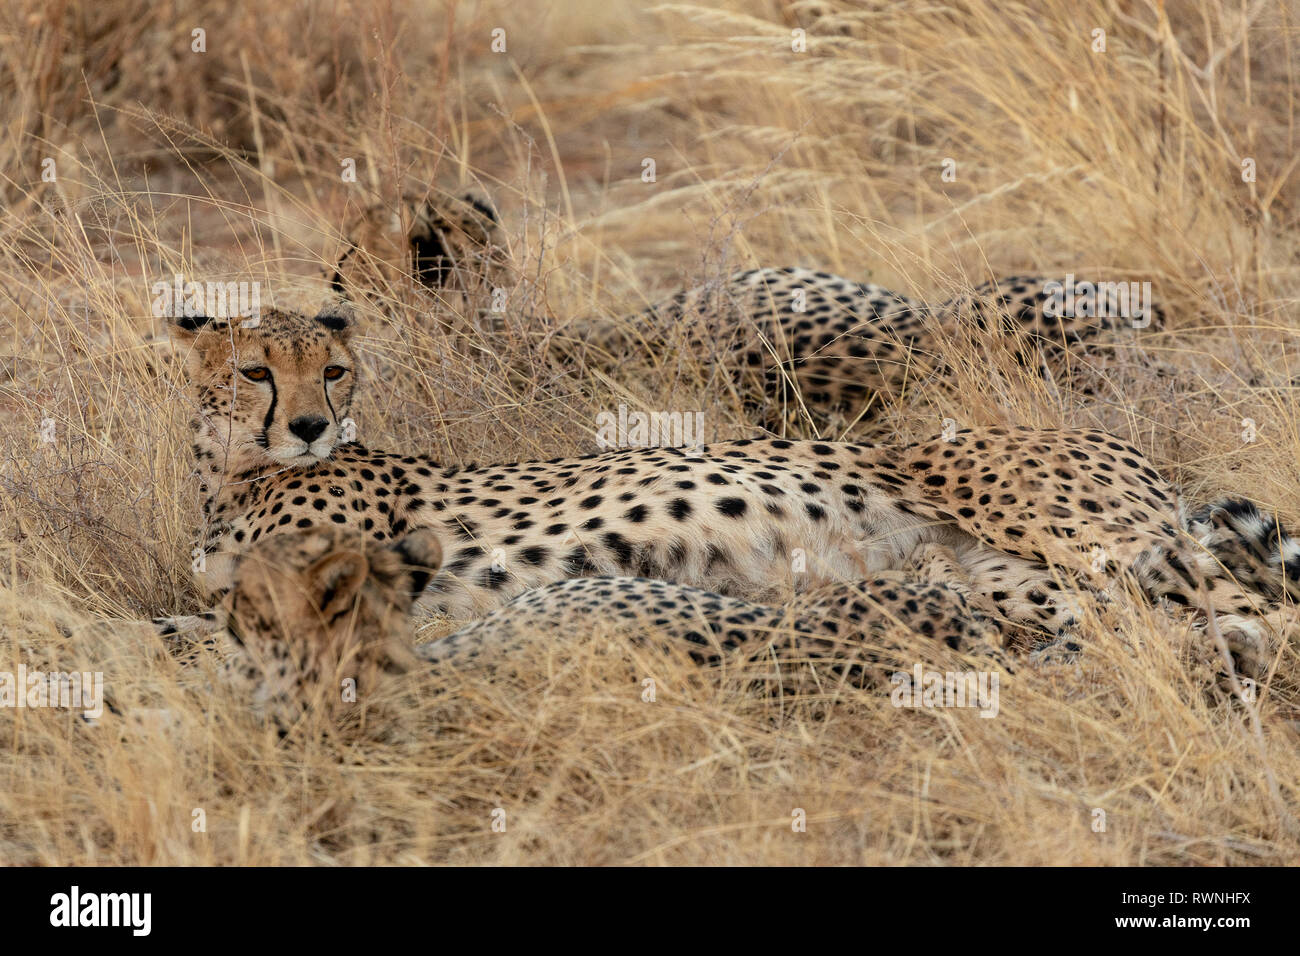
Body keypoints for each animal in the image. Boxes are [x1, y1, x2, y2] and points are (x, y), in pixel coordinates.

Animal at [165, 306, 1289, 681]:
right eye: (258, 370)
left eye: (333, 370)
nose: (310, 426)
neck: (231, 472)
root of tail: (1125, 442)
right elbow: (187, 619)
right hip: (1015, 578)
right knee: (1143, 623)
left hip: (1085, 534)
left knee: (1255, 607)